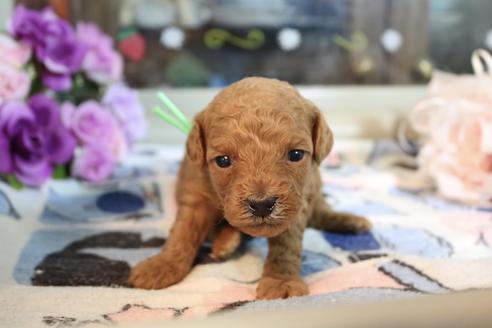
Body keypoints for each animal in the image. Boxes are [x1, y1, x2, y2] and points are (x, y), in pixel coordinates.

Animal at [129, 77, 370, 300]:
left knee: (321, 212)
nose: (261, 205)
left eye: (295, 154)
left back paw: (352, 221)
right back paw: (226, 242)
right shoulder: (195, 193)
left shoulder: (299, 200)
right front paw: (161, 266)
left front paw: (281, 281)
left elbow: (287, 244)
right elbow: (183, 232)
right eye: (223, 160)